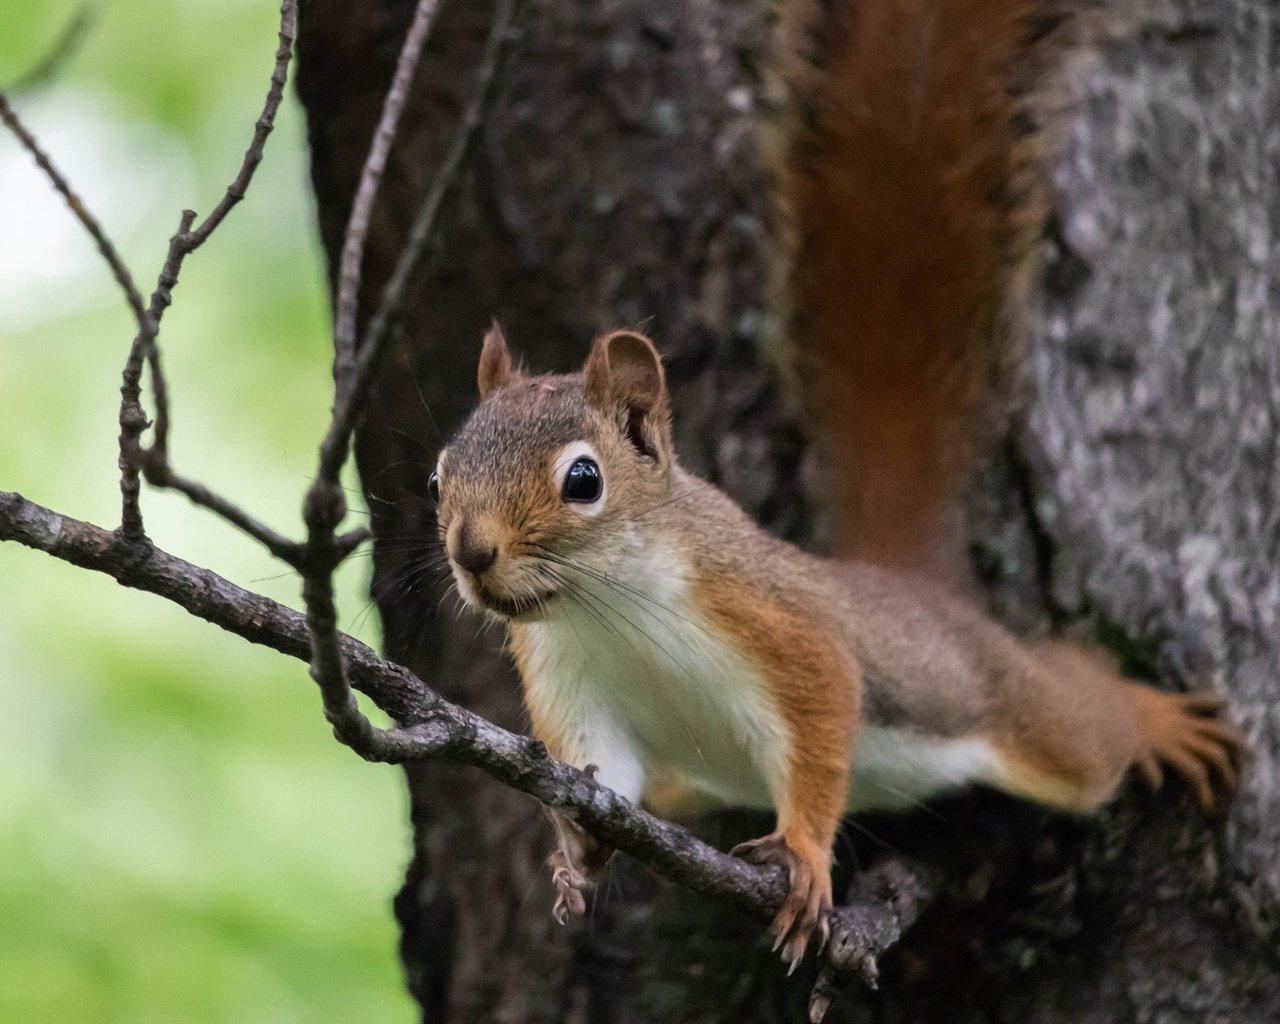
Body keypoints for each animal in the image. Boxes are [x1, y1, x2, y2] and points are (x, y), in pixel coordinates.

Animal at [424, 0, 1244, 967]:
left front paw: (808, 857)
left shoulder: (781, 624)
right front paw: (578, 856)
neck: (609, 611)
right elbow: (600, 774)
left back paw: (1155, 720)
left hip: (1010, 708)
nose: (472, 553)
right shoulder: (572, 687)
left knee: (1083, 720)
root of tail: (907, 584)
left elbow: (822, 725)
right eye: (439, 475)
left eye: (583, 480)